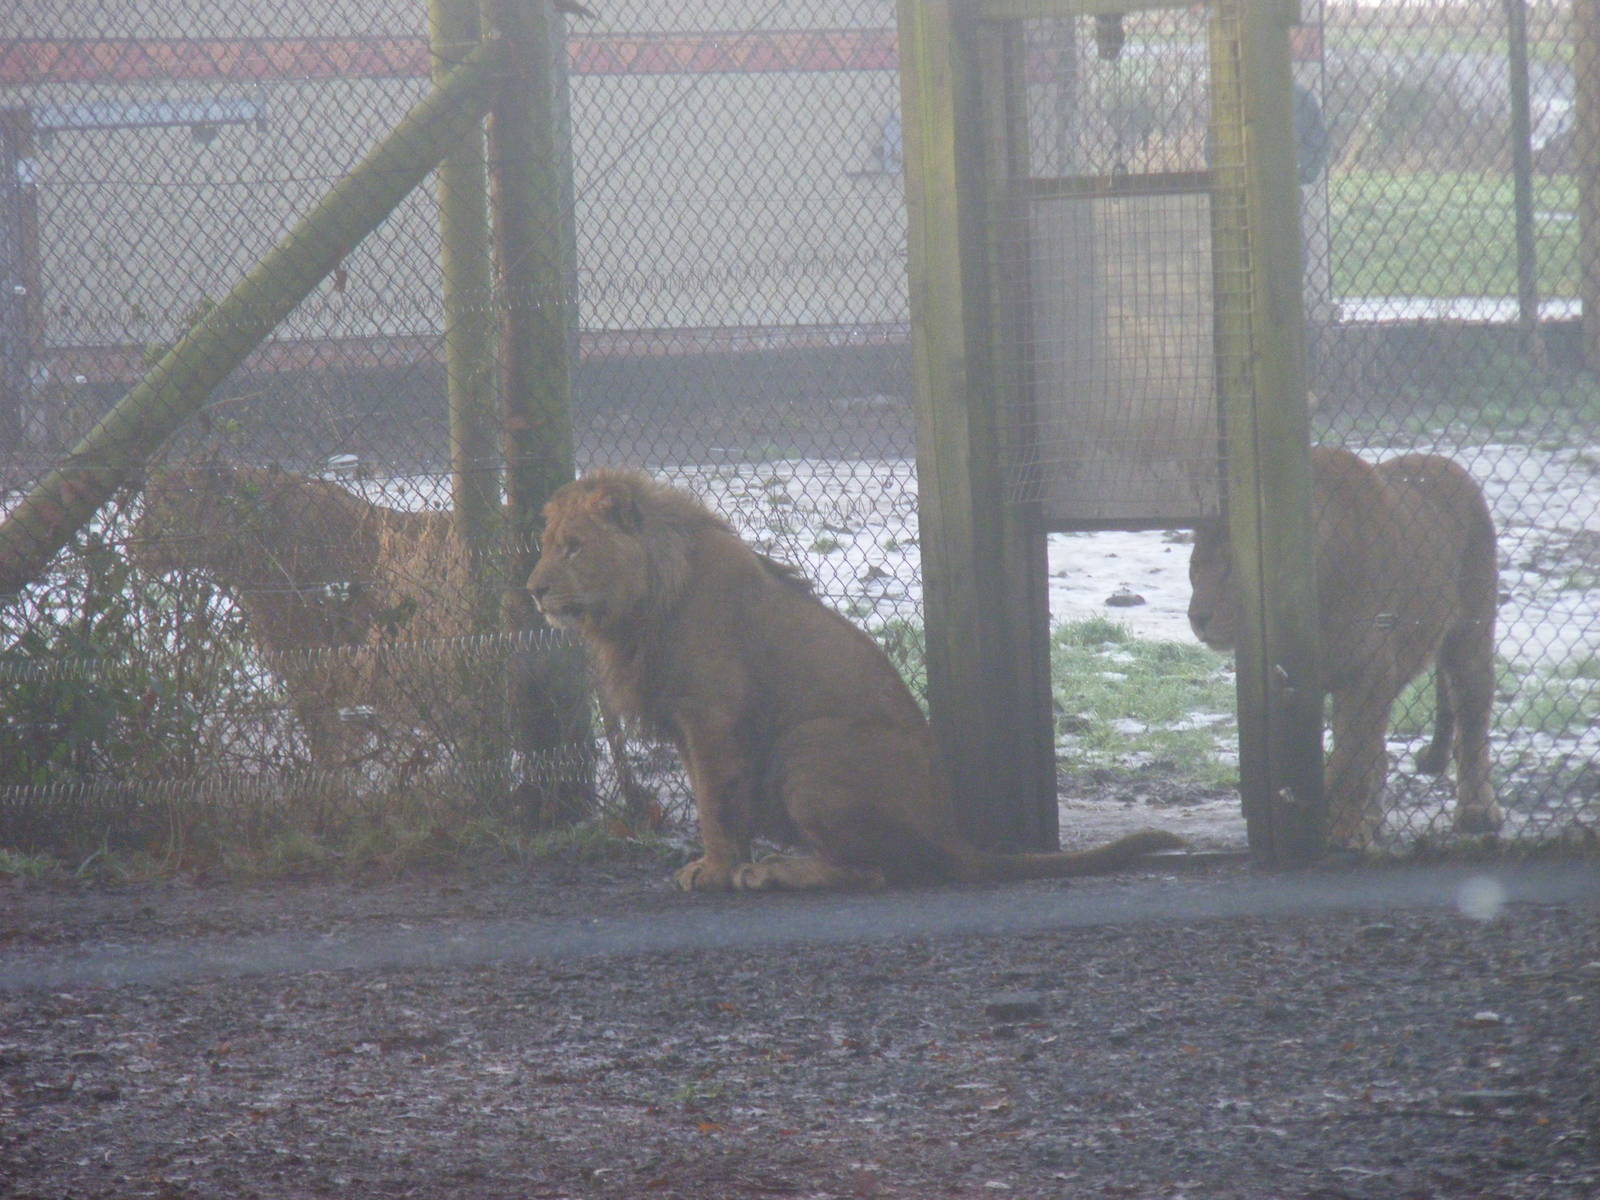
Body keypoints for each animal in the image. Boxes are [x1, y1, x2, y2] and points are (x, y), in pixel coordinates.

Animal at [526, 468, 1185, 891]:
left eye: (574, 547)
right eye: (547, 545)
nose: (533, 590)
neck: (635, 607)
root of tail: (951, 834)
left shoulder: (711, 715)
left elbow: (714, 803)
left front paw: (714, 873)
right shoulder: (690, 725)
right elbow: (723, 804)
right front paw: (722, 864)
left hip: (807, 746)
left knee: (873, 873)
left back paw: (775, 874)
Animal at [1186, 446, 1501, 847]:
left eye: (1232, 570)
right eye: (1196, 568)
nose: (1197, 617)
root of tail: (1444, 461)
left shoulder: (1369, 671)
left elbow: (1350, 761)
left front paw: (1343, 832)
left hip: (1471, 635)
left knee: (1473, 723)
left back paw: (1477, 810)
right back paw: (1375, 819)